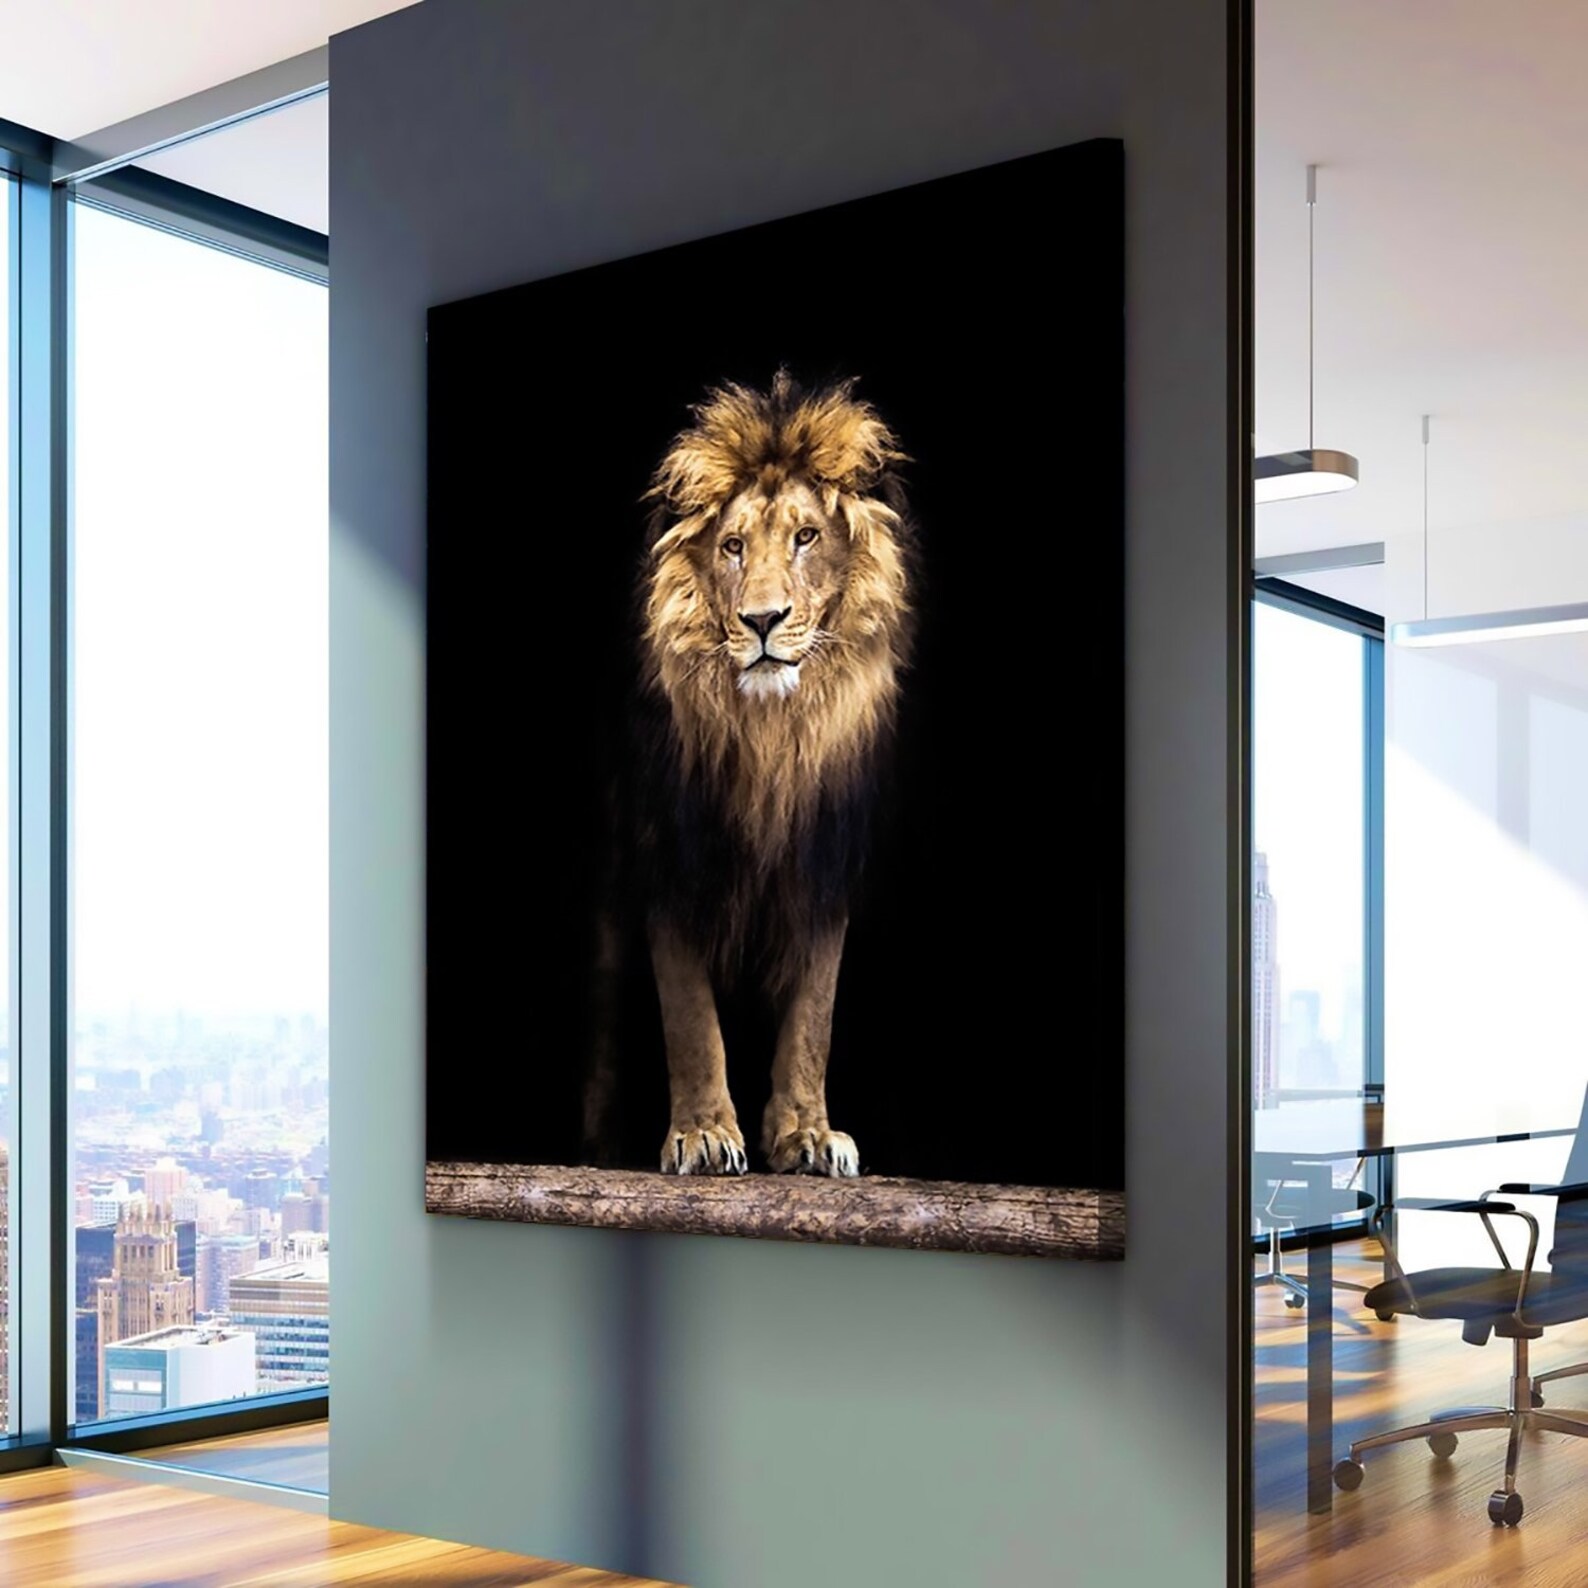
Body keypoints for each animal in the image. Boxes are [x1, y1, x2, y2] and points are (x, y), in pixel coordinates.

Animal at [630, 370, 916, 1178]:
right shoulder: (670, 855)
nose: (762, 620)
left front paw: (807, 1136)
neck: (770, 739)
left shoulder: (824, 864)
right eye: (731, 547)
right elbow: (690, 1013)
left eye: (806, 536)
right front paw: (702, 1134)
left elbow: (813, 1015)